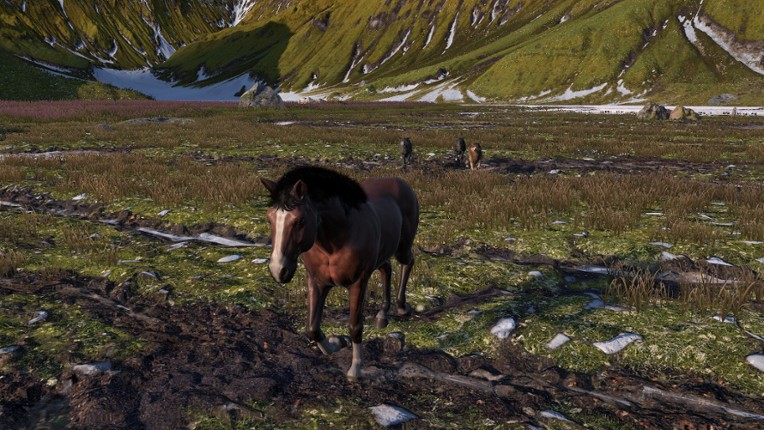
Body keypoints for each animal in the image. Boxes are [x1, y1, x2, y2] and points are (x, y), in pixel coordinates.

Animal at [260, 166, 419, 379]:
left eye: (300, 220)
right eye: (270, 219)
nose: (278, 270)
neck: (335, 241)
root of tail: (400, 182)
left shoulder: (358, 282)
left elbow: (355, 326)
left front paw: (355, 369)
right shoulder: (317, 282)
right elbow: (312, 328)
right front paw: (337, 343)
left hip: (402, 248)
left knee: (408, 262)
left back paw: (402, 307)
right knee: (386, 269)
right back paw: (381, 316)